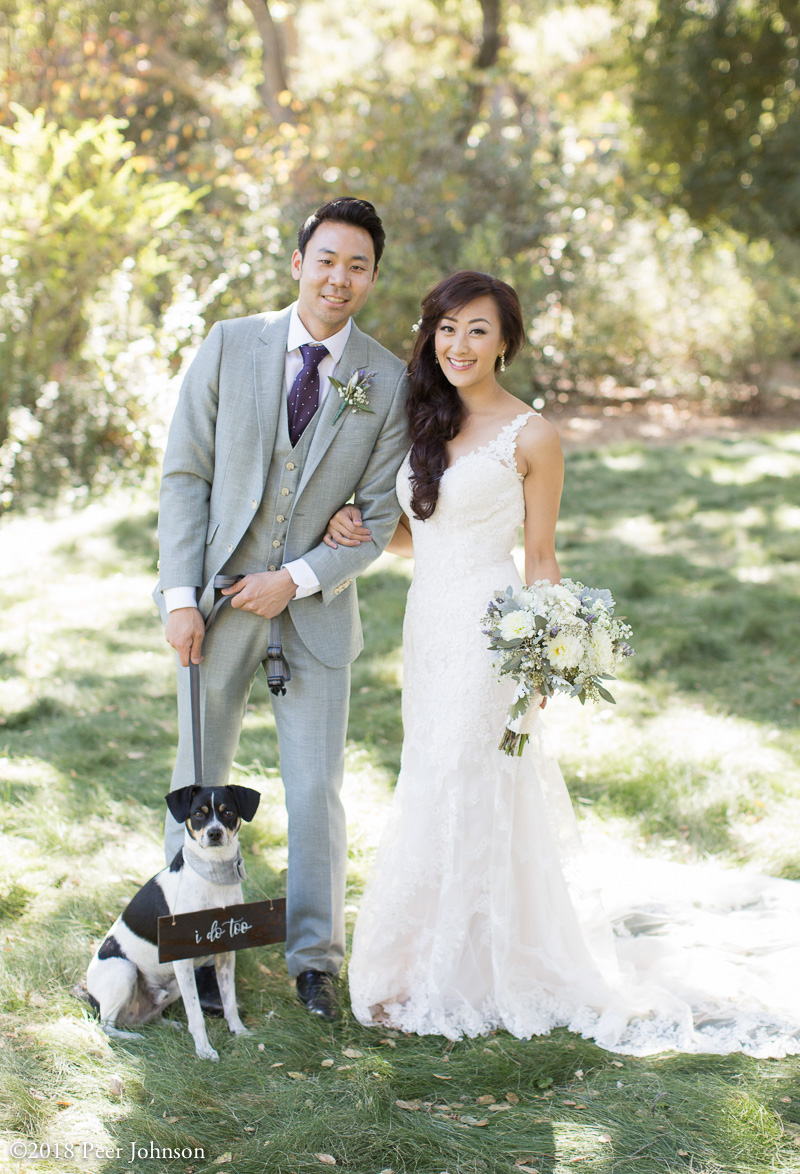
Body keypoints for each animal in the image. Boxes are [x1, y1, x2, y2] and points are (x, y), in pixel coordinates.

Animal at [87, 784, 261, 1061]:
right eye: (198, 813)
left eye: (228, 812)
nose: (214, 833)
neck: (213, 876)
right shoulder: (183, 960)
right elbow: (196, 1014)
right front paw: (204, 1050)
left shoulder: (225, 953)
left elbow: (229, 1000)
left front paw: (239, 1031)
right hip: (124, 971)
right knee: (105, 1025)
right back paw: (131, 1037)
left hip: (172, 986)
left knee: (148, 1017)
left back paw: (168, 1025)